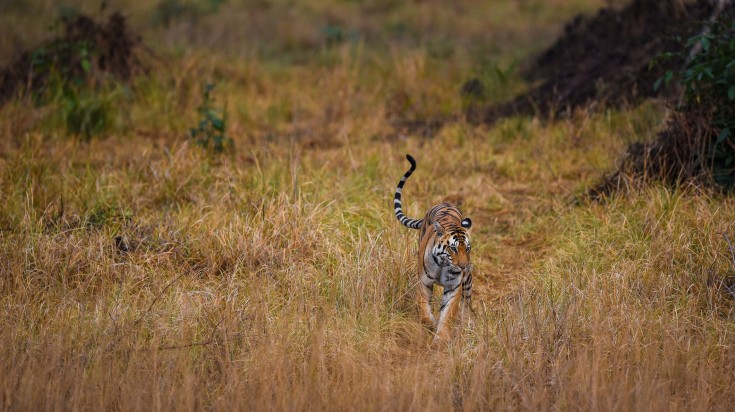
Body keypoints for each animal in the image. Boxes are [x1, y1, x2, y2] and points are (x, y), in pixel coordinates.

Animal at [394, 153, 474, 342]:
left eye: (467, 248)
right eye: (453, 249)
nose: (463, 267)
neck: (443, 265)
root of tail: (445, 203)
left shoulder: (454, 288)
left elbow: (448, 313)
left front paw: (441, 338)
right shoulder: (424, 282)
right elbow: (424, 309)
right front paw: (431, 324)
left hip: (467, 282)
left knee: (467, 303)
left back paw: (467, 325)